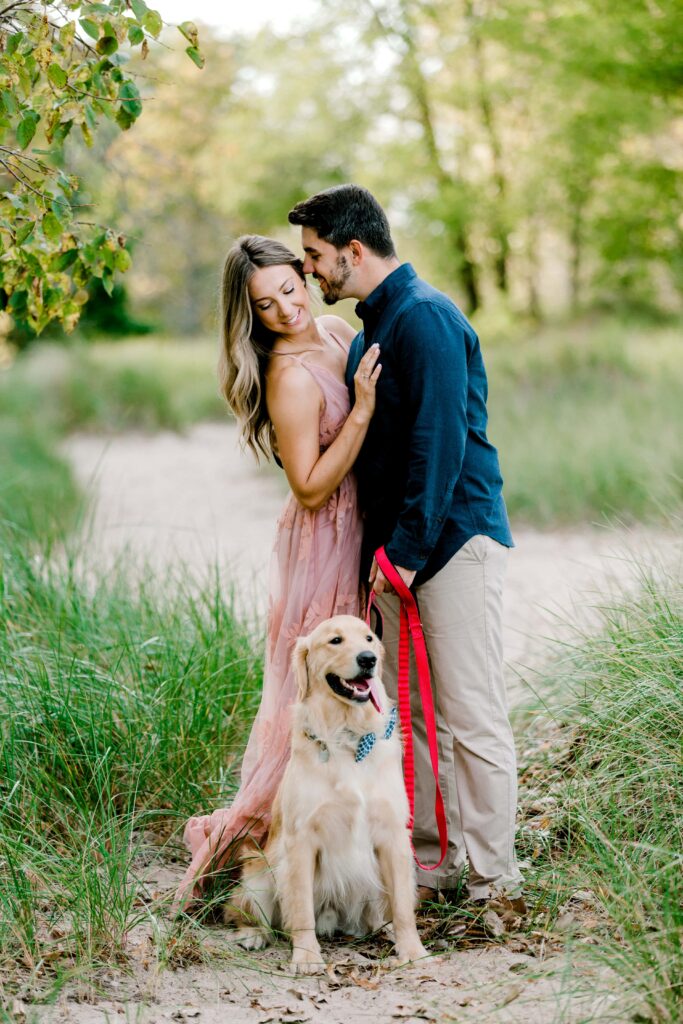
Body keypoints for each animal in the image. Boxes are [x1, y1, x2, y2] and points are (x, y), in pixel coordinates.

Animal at [224, 614, 428, 974]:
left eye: (369, 638)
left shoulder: (393, 835)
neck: (349, 737)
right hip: (259, 870)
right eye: (335, 640)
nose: (368, 659)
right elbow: (301, 907)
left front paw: (412, 950)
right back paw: (253, 934)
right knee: (251, 911)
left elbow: (404, 906)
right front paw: (306, 956)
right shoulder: (300, 839)